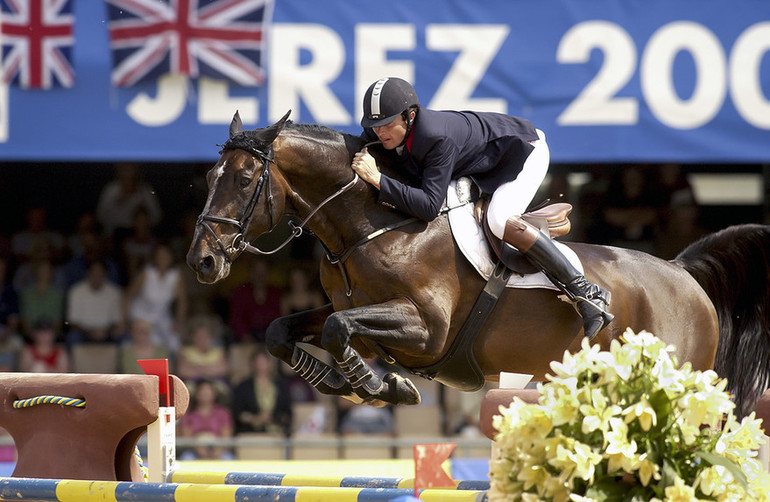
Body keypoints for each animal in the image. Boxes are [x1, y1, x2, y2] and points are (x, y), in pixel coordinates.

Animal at [184, 112, 768, 418]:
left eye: (243, 180)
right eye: (210, 177)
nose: (203, 262)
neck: (370, 224)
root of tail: (684, 273)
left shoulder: (427, 330)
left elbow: (337, 328)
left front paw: (376, 386)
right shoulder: (354, 310)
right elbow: (284, 332)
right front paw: (353, 383)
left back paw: (591, 303)